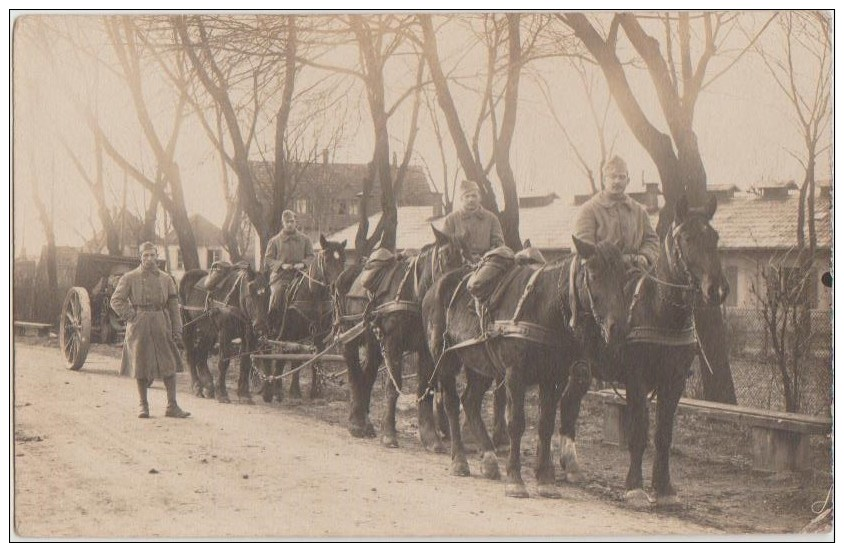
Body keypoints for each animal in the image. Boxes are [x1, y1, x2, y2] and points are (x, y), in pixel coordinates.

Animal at [179, 264, 268, 404]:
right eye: (250, 290)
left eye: (268, 292)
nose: (260, 325)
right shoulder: (225, 334)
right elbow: (223, 362)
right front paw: (222, 393)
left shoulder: (249, 337)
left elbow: (246, 363)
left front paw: (244, 394)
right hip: (188, 327)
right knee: (191, 354)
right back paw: (197, 386)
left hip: (208, 332)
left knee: (201, 355)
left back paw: (208, 386)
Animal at [260, 236, 346, 402]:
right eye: (326, 259)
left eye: (343, 260)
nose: (337, 287)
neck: (312, 296)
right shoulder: (294, 334)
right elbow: (296, 359)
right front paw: (294, 391)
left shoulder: (319, 335)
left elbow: (316, 358)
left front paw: (316, 392)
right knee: (267, 355)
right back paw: (267, 388)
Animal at [332, 226, 474, 450]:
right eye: (446, 256)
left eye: (469, 258)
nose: (456, 291)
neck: (415, 292)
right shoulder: (393, 344)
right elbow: (393, 386)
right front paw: (389, 433)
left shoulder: (426, 349)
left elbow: (425, 388)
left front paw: (430, 437)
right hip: (349, 337)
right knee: (354, 374)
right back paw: (356, 423)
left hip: (373, 343)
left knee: (367, 375)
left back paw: (365, 423)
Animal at [422, 236, 628, 500]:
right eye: (593, 274)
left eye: (623, 276)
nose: (617, 327)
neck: (542, 306)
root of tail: (435, 286)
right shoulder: (514, 374)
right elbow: (517, 424)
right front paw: (515, 480)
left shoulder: (553, 377)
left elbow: (545, 424)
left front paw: (545, 480)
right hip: (446, 360)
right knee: (451, 403)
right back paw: (459, 460)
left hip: (480, 365)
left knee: (470, 401)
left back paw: (489, 459)